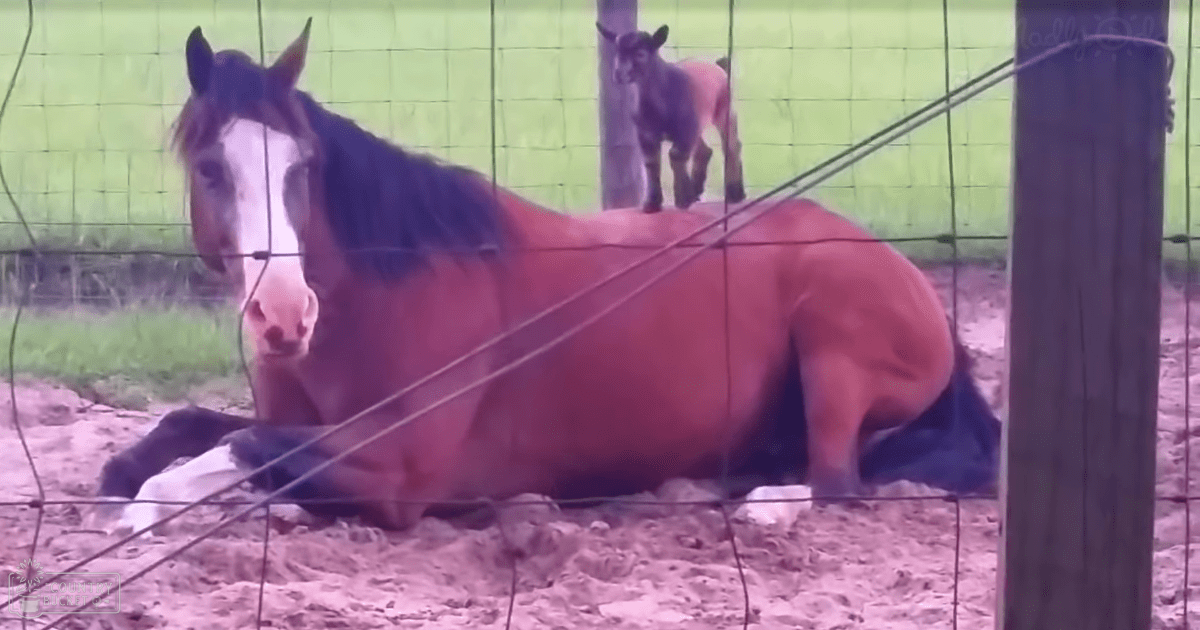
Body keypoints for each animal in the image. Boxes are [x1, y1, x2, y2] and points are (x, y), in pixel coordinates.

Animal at [596, 22, 746, 213]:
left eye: (640, 54)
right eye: (617, 52)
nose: (618, 74)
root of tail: (717, 65)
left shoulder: (685, 129)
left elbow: (675, 155)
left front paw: (682, 199)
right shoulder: (646, 133)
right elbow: (651, 162)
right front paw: (652, 203)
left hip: (723, 110)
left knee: (732, 145)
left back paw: (735, 194)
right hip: (696, 123)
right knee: (704, 150)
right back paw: (697, 189)